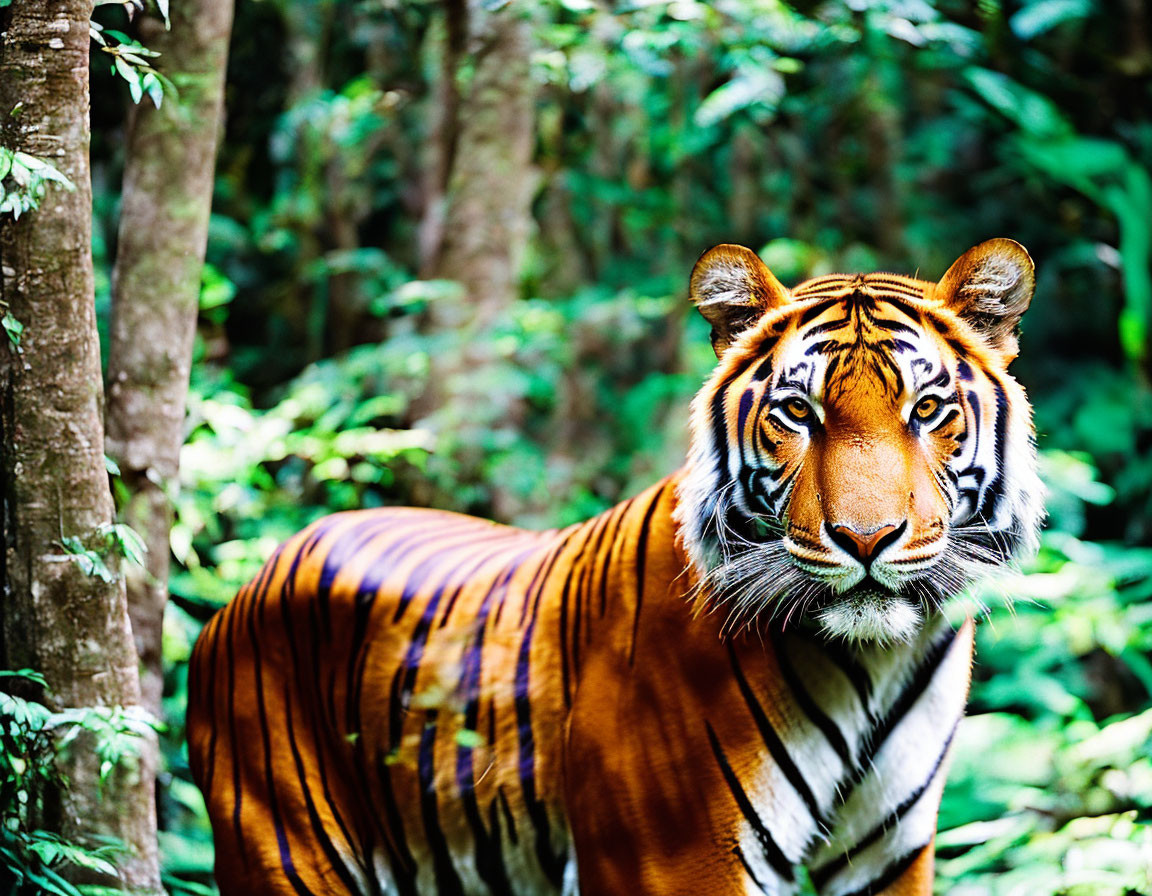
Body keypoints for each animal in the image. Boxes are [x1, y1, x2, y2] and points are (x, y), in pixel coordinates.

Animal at [186, 237, 1046, 893]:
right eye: (798, 413)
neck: (872, 662)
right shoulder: (675, 858)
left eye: (926, 410)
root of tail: (244, 590)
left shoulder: (889, 854)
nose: (866, 539)